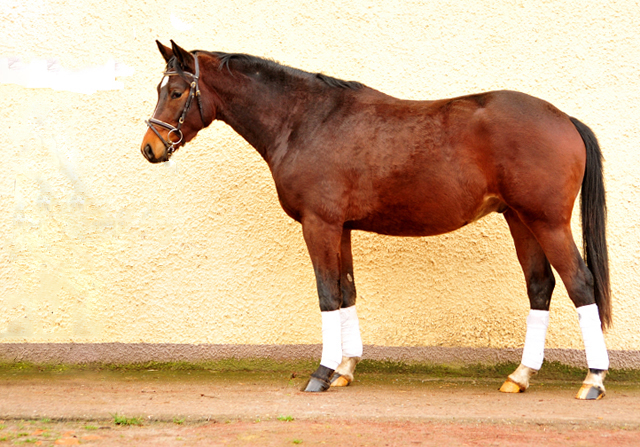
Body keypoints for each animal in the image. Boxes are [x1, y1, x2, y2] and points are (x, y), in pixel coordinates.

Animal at [142, 40, 612, 400]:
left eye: (178, 91)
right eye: (162, 87)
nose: (150, 147)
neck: (306, 121)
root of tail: (565, 119)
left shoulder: (319, 225)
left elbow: (327, 294)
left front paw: (322, 373)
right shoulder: (341, 229)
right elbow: (347, 291)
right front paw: (346, 368)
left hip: (547, 222)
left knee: (579, 283)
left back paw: (593, 380)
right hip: (520, 219)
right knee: (540, 286)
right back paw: (520, 376)